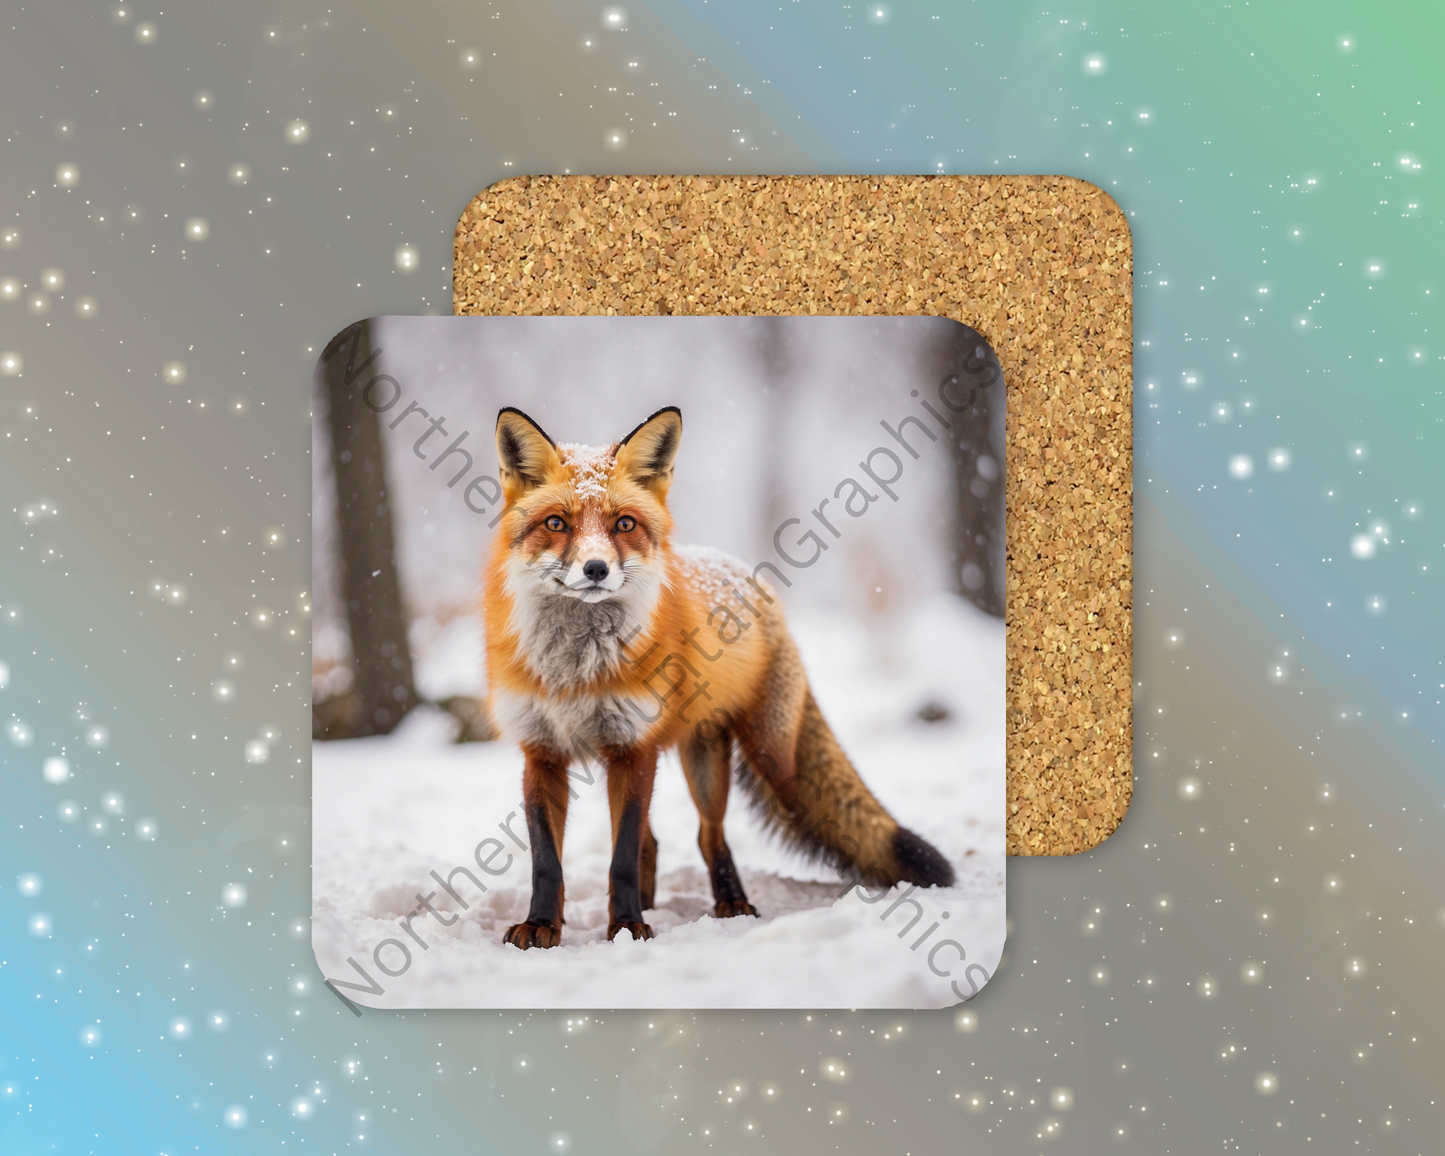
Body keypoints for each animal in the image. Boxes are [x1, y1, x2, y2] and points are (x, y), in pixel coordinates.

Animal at [483, 405, 955, 949]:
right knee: (655, 841)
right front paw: (542, 924)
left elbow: (621, 857)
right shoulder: (542, 752)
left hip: (745, 757)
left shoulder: (634, 748)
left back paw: (730, 903)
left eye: (624, 524)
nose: (596, 568)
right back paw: (654, 902)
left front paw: (626, 928)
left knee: (709, 834)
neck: (575, 671)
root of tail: (747, 574)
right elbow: (547, 861)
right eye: (556, 523)